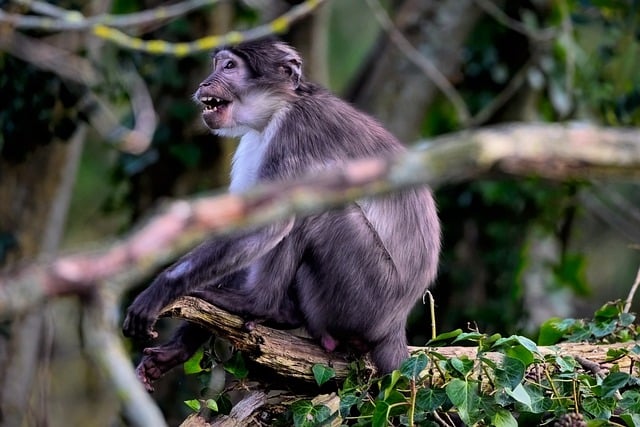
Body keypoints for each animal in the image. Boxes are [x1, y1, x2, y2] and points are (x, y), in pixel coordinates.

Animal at [123, 38, 440, 390]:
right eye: (217, 65)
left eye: (229, 67)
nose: (205, 83)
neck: (279, 107)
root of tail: (394, 325)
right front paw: (178, 348)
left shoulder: (295, 130)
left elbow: (272, 224)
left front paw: (162, 289)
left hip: (367, 298)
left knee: (315, 211)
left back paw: (261, 304)